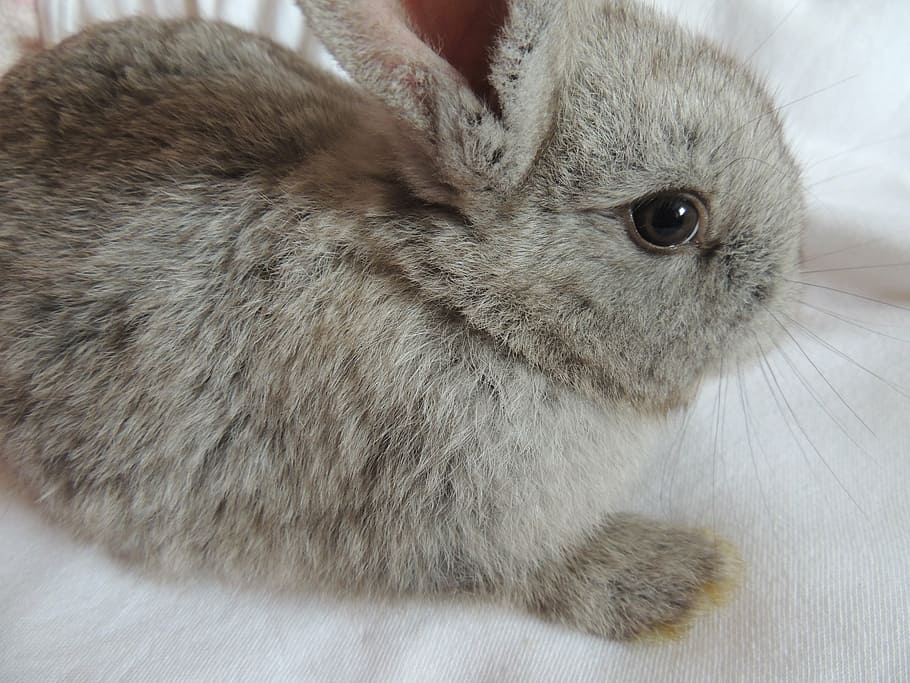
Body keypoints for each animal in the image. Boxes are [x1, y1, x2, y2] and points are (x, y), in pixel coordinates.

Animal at [0, 0, 804, 640]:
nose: (781, 307)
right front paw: (689, 580)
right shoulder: (461, 527)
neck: (455, 293)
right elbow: (544, 570)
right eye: (669, 218)